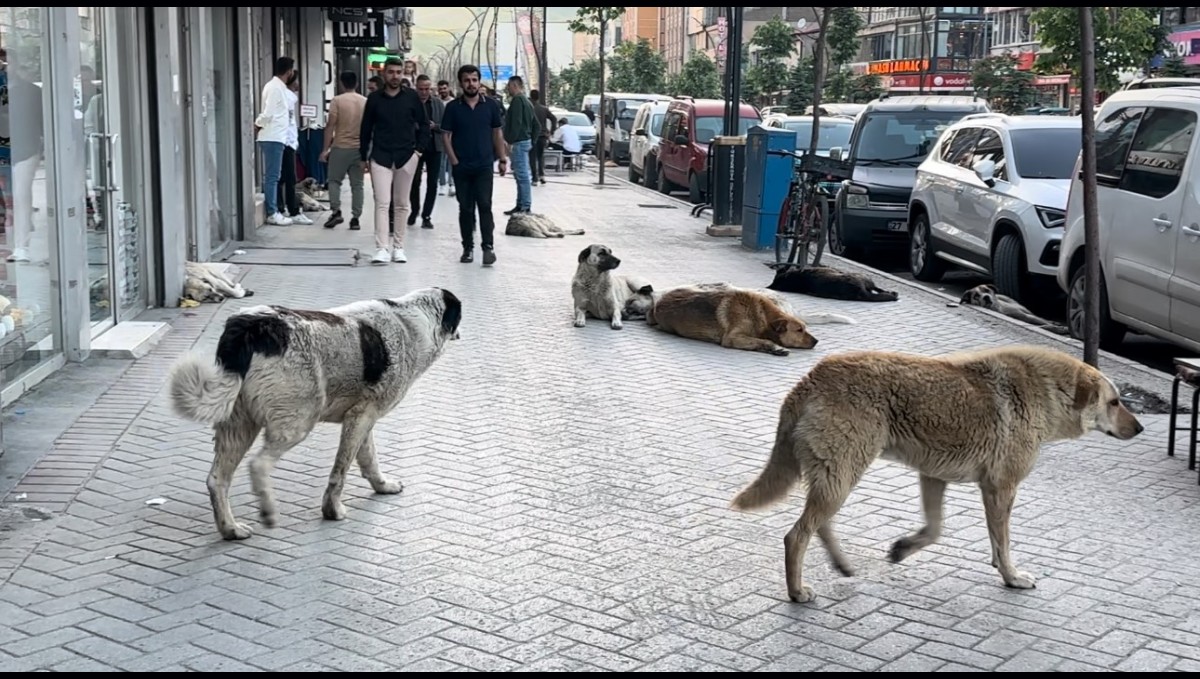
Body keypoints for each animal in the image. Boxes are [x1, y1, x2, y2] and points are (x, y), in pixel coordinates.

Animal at [169, 287, 463, 542]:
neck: (411, 321)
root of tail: (250, 327)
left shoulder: (362, 416)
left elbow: (369, 459)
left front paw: (382, 486)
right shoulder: (361, 417)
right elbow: (340, 470)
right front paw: (332, 511)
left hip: (239, 423)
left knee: (217, 480)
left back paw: (230, 529)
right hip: (298, 420)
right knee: (259, 465)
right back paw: (268, 511)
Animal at [648, 284, 825, 357]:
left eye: (805, 328)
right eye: (799, 330)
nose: (817, 341)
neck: (760, 314)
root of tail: (658, 301)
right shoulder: (732, 338)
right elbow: (762, 341)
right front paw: (775, 347)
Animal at [729, 347, 1142, 604]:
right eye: (1115, 402)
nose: (1139, 429)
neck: (1047, 390)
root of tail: (812, 377)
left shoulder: (934, 477)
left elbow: (936, 530)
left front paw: (904, 548)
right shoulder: (1001, 488)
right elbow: (1003, 543)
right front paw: (1010, 576)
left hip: (838, 476)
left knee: (820, 525)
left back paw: (841, 564)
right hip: (843, 474)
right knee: (797, 535)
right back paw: (796, 591)